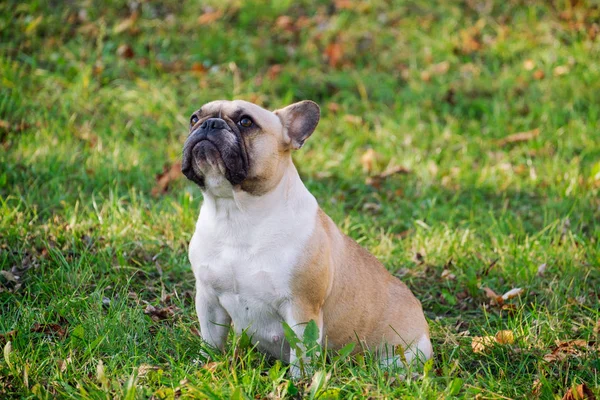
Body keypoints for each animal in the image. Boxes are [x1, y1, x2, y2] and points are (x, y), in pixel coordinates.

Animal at [180, 99, 434, 376]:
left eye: (246, 122)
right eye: (194, 118)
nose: (209, 124)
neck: (235, 214)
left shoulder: (301, 307)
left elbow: (301, 353)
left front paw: (299, 381)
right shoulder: (208, 298)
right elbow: (211, 338)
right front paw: (205, 363)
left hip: (405, 353)